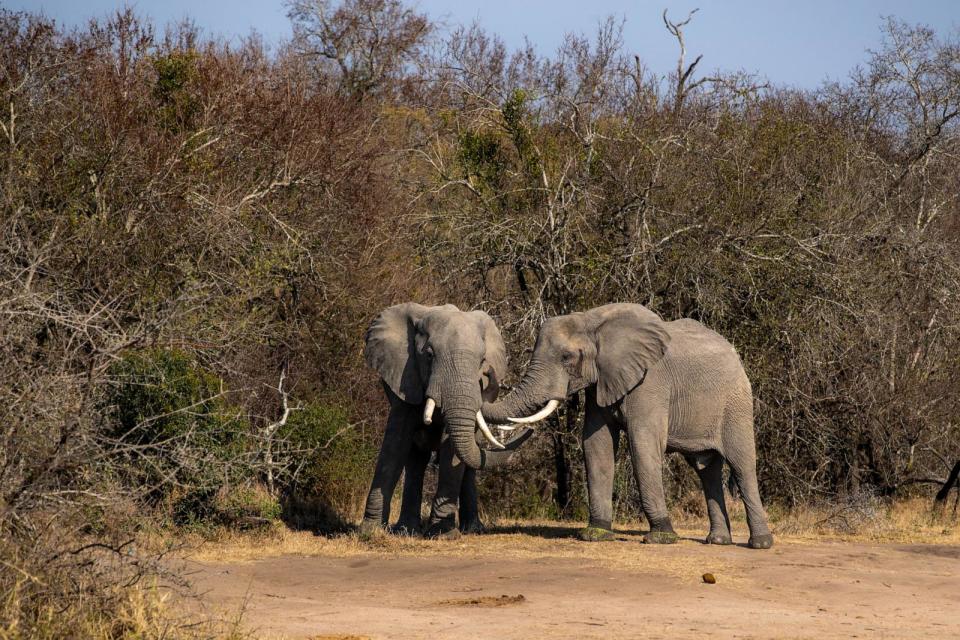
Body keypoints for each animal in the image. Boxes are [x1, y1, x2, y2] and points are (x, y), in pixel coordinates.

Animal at [360, 302, 532, 536]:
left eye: (482, 361)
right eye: (429, 355)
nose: (489, 373)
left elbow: (452, 451)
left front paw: (443, 534)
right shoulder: (406, 378)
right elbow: (395, 444)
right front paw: (369, 531)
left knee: (469, 459)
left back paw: (473, 529)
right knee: (417, 459)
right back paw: (407, 530)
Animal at [480, 302, 772, 548]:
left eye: (566, 357)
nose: (485, 372)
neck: (593, 320)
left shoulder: (649, 382)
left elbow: (642, 445)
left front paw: (660, 538)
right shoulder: (600, 381)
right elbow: (596, 445)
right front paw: (595, 534)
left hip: (736, 403)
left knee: (742, 464)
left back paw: (760, 543)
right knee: (706, 470)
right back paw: (718, 541)